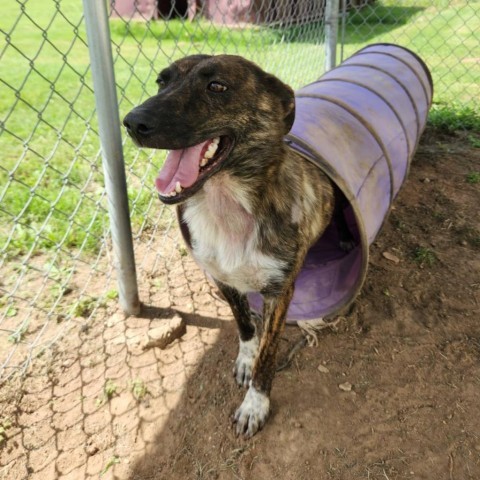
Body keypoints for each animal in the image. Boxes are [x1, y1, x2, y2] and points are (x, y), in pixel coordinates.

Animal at [124, 54, 338, 436]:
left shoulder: (280, 292)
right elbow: (245, 326)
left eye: (217, 86)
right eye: (161, 82)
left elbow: (268, 353)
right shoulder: (222, 278)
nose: (133, 122)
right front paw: (245, 359)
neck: (225, 204)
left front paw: (255, 403)